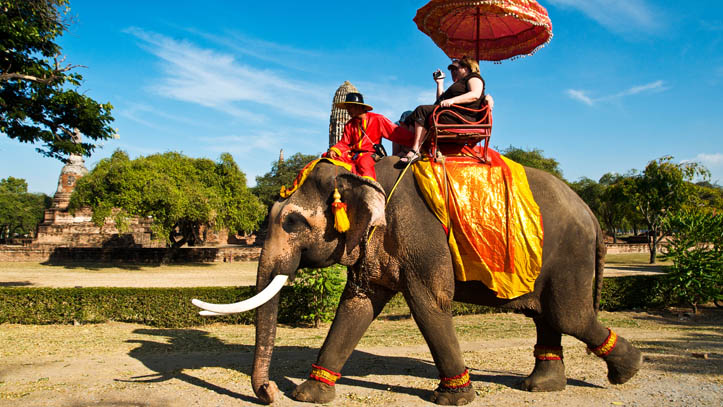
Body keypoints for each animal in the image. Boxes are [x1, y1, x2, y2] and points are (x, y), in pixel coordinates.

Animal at [192, 157, 644, 404]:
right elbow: (357, 304)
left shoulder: (420, 234)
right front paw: (309, 395)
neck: (362, 172)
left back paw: (628, 371)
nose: (268, 394)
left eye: (294, 222)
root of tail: (593, 215)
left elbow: (429, 303)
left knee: (568, 315)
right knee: (547, 316)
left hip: (569, 255)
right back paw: (539, 387)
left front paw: (453, 398)